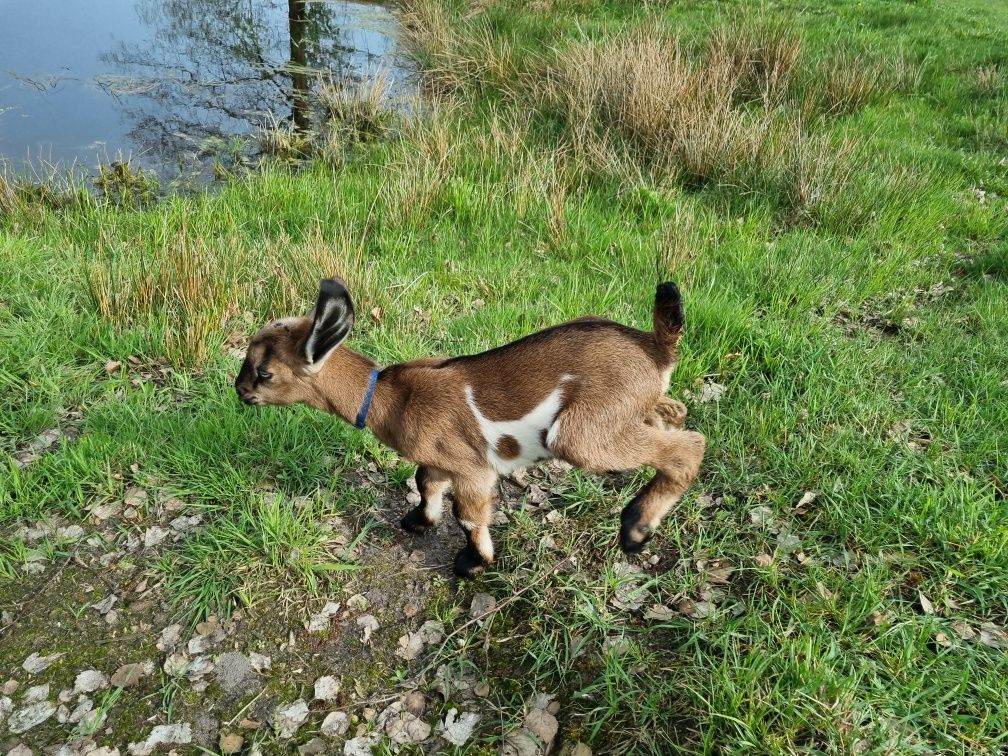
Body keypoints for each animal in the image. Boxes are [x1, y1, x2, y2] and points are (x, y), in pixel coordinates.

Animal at [238, 282, 705, 576]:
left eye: (264, 373)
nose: (239, 390)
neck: (392, 398)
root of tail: (655, 348)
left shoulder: (473, 467)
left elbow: (468, 515)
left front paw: (473, 564)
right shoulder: (440, 458)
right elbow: (424, 481)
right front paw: (418, 520)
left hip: (580, 433)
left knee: (690, 446)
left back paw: (635, 530)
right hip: (630, 408)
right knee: (673, 413)